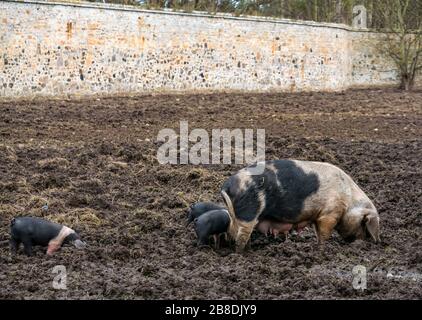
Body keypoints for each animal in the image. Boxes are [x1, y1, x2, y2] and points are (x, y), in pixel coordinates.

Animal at [219, 160, 380, 252]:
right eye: (364, 225)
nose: (363, 244)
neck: (349, 202)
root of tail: (227, 186)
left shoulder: (318, 216)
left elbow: (318, 232)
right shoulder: (329, 213)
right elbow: (324, 233)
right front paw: (322, 250)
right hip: (248, 213)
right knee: (240, 238)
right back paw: (241, 255)